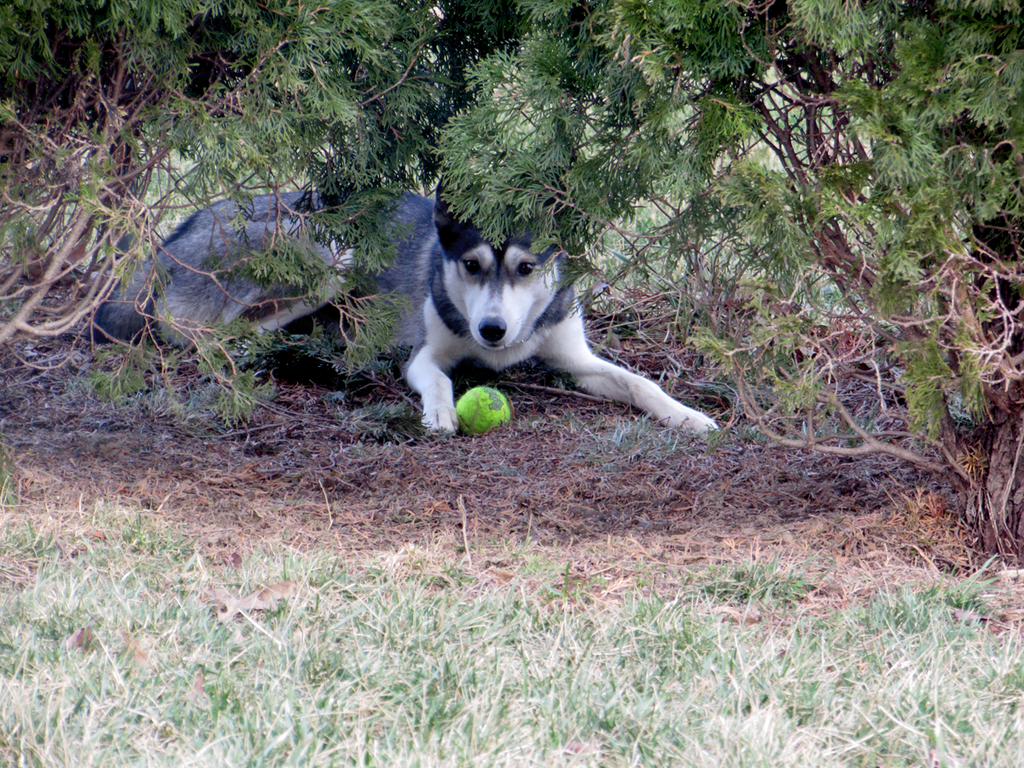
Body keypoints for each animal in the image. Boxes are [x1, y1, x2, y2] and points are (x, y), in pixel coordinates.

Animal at [94, 190, 720, 436]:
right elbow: (439, 379)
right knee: (209, 336)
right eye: (471, 265)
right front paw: (441, 413)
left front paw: (686, 414)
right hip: (332, 259)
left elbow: (640, 383)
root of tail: (179, 232)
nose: (492, 330)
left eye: (524, 268)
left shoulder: (576, 360)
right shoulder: (423, 356)